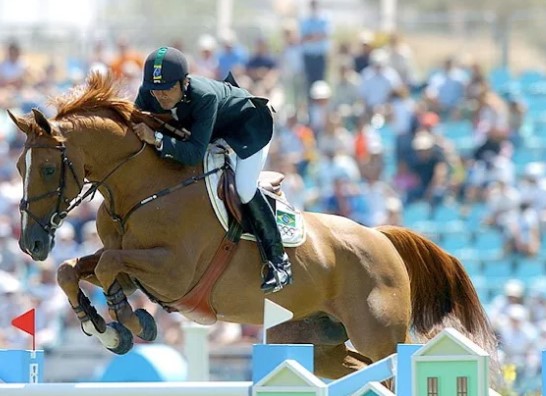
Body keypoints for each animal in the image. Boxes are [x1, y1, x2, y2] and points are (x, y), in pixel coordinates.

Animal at [8, 72, 496, 378]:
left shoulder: (173, 271)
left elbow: (108, 264)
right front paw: (104, 328)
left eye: (48, 169)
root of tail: (381, 237)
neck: (140, 189)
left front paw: (131, 324)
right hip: (313, 341)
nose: (31, 244)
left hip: (378, 333)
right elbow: (73, 270)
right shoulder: (138, 270)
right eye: (18, 166)